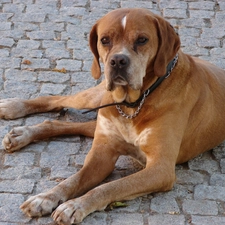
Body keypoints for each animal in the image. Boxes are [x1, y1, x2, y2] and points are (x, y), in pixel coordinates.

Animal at [0, 7, 225, 224]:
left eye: (142, 39)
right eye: (105, 40)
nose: (118, 61)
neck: (133, 104)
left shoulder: (160, 169)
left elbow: (109, 187)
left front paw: (75, 205)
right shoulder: (102, 155)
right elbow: (73, 180)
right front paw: (45, 197)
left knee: (63, 124)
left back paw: (22, 134)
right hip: (95, 99)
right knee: (57, 100)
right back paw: (14, 109)